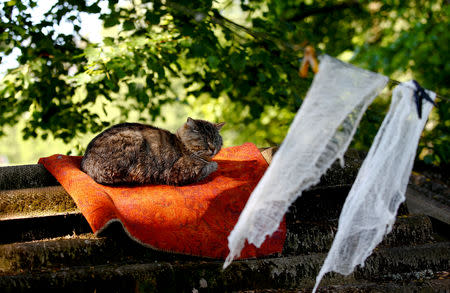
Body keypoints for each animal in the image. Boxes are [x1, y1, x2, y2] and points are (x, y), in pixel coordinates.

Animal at [81, 116, 225, 185]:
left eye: (216, 140)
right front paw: (213, 164)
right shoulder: (179, 172)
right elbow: (210, 166)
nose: (213, 148)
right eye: (204, 140)